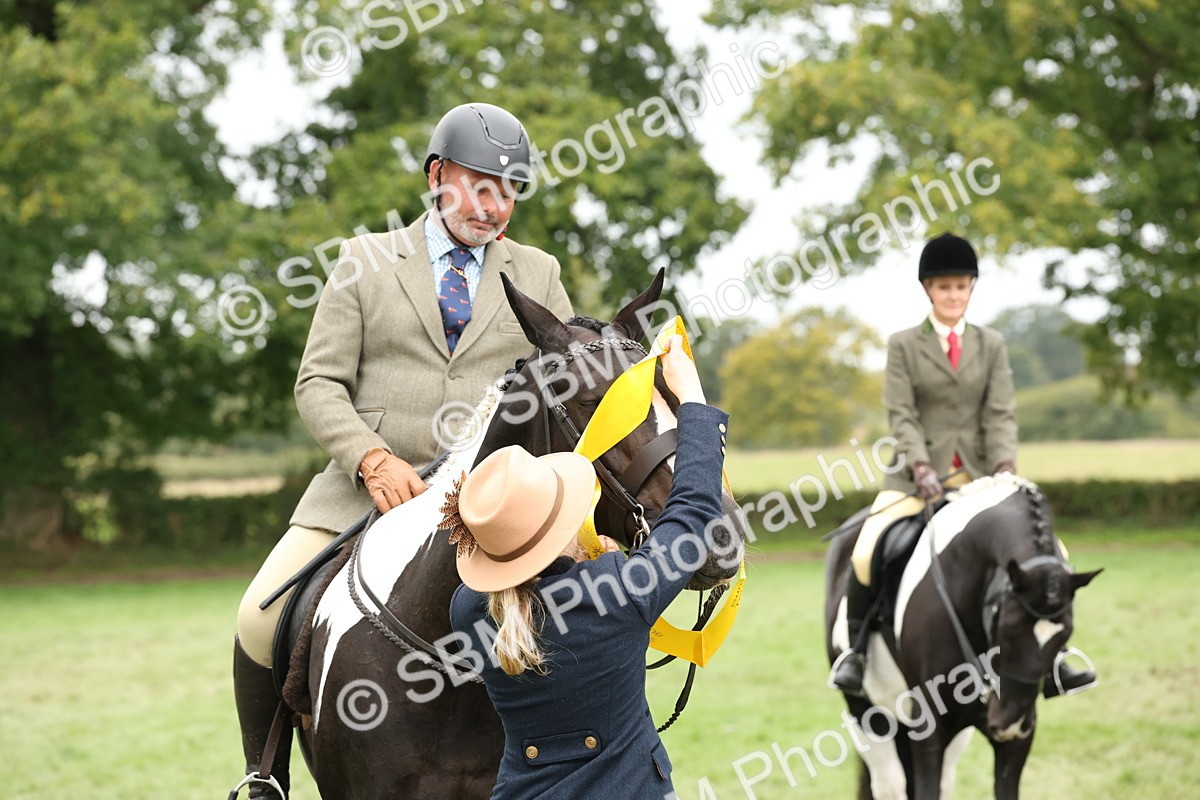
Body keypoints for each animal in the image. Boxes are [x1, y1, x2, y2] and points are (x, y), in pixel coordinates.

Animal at [825, 475, 1101, 800]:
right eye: (1006, 627)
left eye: (1065, 633)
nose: (1012, 722)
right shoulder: (928, 727)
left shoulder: (1017, 740)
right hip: (869, 714)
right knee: (889, 783)